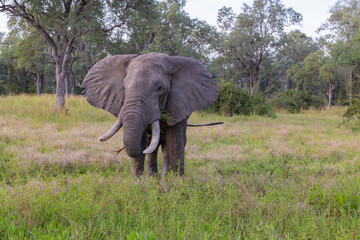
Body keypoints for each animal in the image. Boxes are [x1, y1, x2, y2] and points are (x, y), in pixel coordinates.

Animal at [80, 52, 218, 177]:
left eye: (159, 88)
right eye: (124, 87)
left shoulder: (179, 106)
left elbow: (175, 142)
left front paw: (177, 182)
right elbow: (142, 143)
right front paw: (138, 182)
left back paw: (163, 177)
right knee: (153, 147)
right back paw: (153, 177)